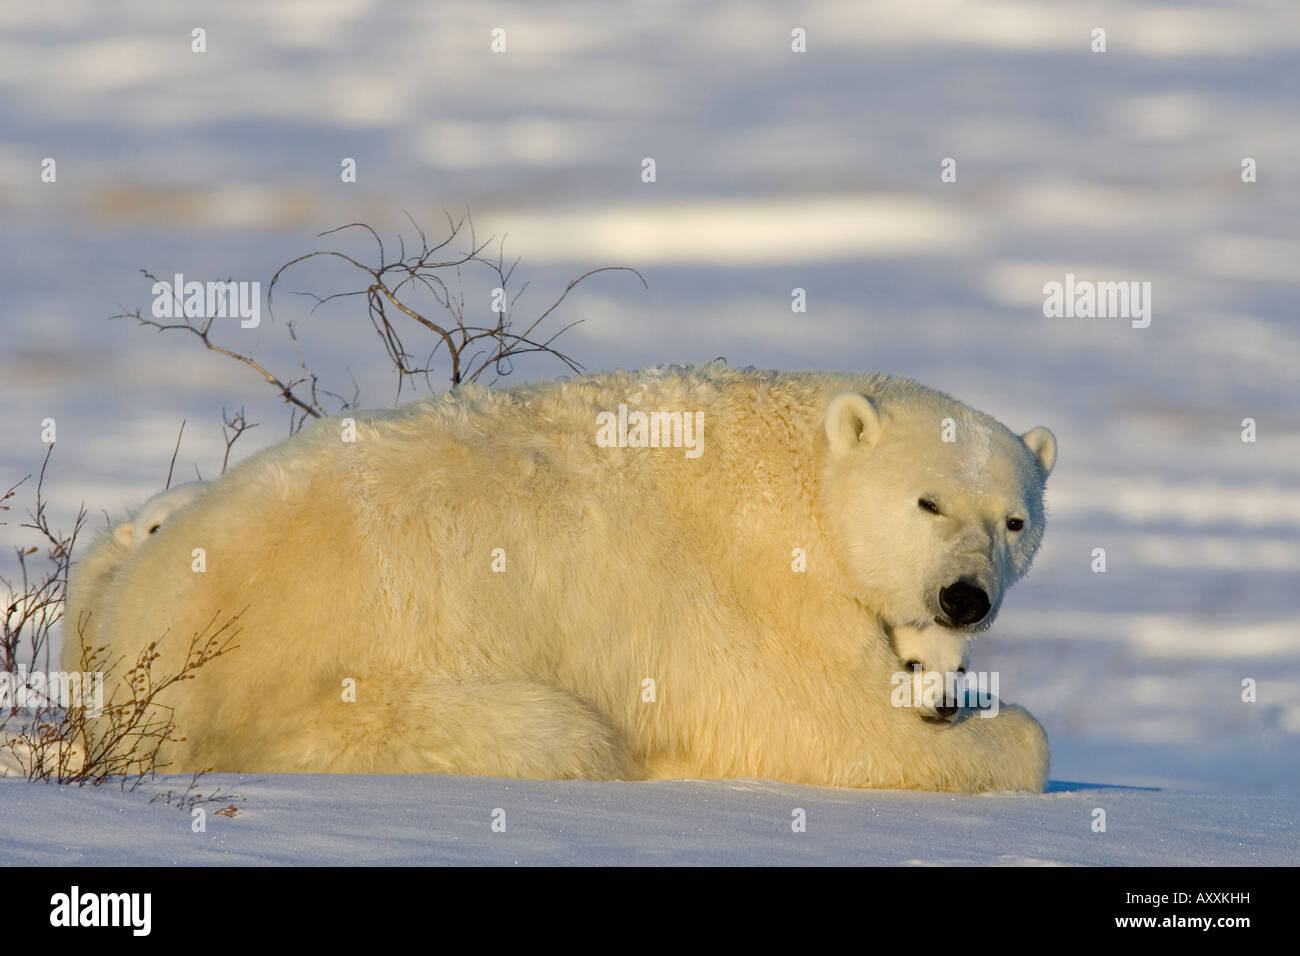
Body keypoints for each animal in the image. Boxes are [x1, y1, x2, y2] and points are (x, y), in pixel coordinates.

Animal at [71, 366, 1055, 790]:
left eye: (1014, 520)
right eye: (928, 501)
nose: (964, 598)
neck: (802, 472)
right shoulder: (760, 590)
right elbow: (827, 726)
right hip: (335, 691)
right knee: (558, 733)